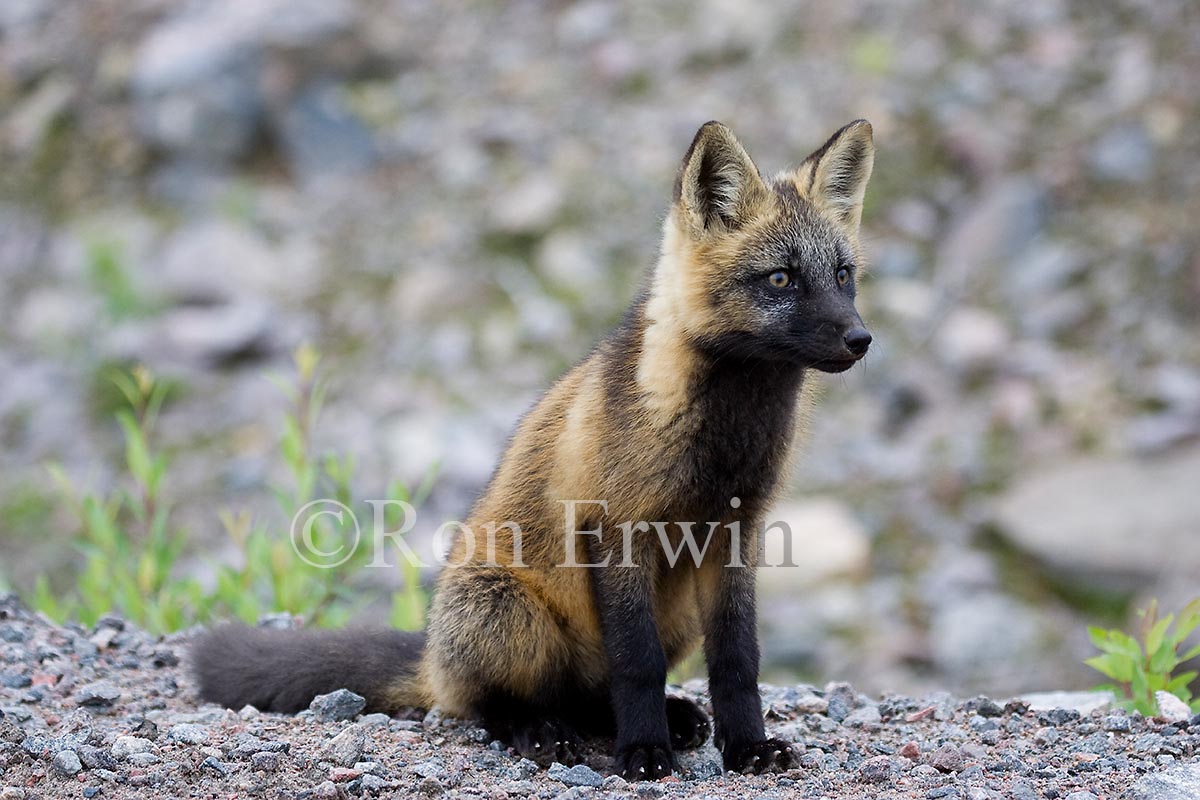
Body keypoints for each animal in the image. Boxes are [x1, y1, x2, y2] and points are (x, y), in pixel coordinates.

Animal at [193, 119, 876, 780]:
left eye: (843, 276)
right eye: (781, 278)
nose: (861, 339)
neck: (725, 440)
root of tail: (432, 654)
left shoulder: (735, 535)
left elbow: (738, 663)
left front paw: (750, 750)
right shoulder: (617, 531)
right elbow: (638, 664)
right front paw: (644, 755)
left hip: (672, 614)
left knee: (589, 699)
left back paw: (669, 719)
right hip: (509, 615)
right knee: (490, 706)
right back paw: (543, 731)